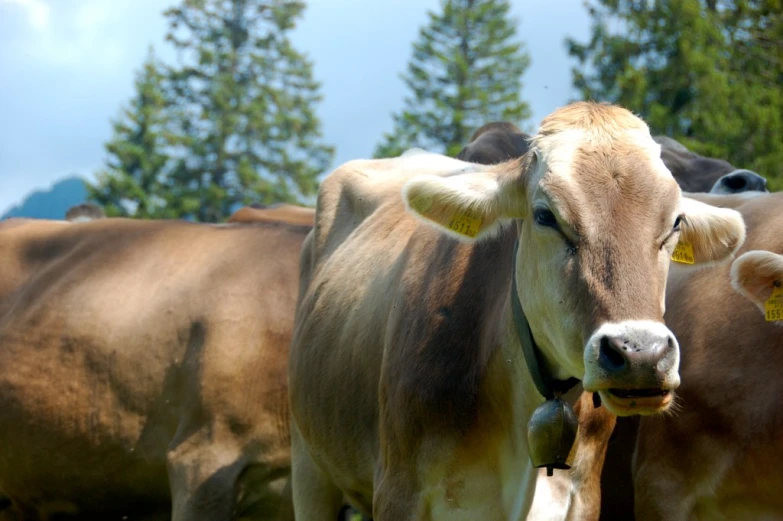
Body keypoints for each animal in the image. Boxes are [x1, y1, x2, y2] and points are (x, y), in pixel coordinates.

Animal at [288, 101, 748, 520]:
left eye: (675, 222)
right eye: (545, 216)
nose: (641, 355)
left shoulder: (582, 497)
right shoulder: (400, 491)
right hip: (309, 468)